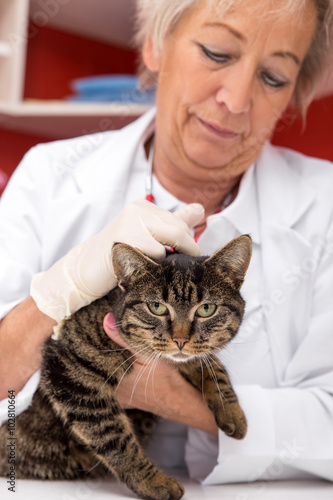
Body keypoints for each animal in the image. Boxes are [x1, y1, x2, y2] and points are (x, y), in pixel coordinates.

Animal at [0, 235, 250, 500]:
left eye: (206, 309)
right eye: (156, 307)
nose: (181, 340)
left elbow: (212, 365)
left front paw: (232, 411)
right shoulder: (71, 372)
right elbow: (115, 438)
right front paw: (152, 482)